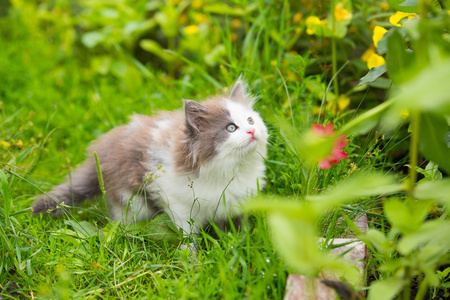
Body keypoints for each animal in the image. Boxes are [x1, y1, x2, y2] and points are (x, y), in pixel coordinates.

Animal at [34, 78, 270, 238]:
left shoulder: (237, 202)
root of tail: (100, 154)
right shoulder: (178, 202)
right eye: (231, 128)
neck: (233, 169)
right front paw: (192, 262)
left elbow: (236, 228)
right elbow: (187, 235)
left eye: (250, 120)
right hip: (132, 202)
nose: (251, 131)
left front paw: (238, 245)